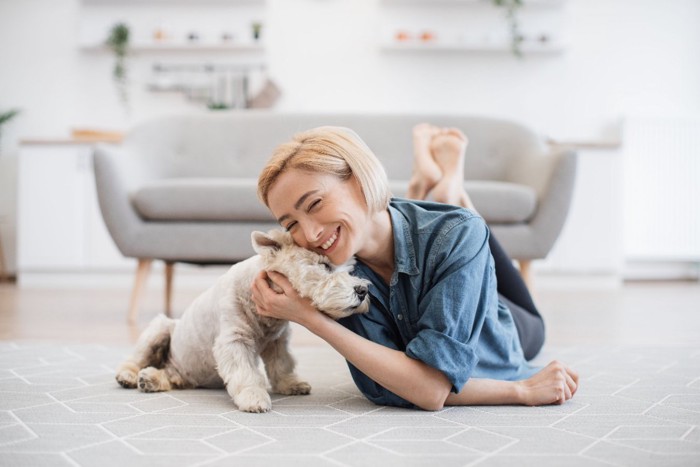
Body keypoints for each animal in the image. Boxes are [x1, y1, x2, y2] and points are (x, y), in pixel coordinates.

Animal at [115, 230, 370, 414]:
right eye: (325, 265)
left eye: (350, 269)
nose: (363, 291)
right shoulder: (234, 341)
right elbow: (246, 373)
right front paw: (254, 398)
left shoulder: (277, 341)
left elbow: (282, 364)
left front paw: (290, 384)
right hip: (160, 329)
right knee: (136, 358)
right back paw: (130, 376)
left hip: (180, 369)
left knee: (172, 377)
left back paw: (152, 379)